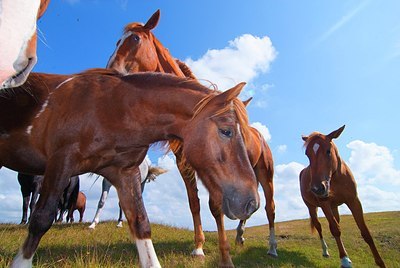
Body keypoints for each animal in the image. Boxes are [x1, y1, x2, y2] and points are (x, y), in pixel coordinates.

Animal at [104, 8, 276, 266]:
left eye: (135, 39)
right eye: (116, 42)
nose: (109, 71)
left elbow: (215, 206)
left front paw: (224, 254)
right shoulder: (185, 165)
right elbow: (194, 203)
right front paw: (199, 247)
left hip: (265, 174)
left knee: (270, 208)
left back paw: (272, 247)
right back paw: (240, 234)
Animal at [302, 125, 386, 268]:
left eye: (328, 151)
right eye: (307, 154)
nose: (317, 189)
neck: (336, 178)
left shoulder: (354, 201)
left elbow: (365, 232)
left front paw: (380, 262)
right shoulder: (324, 204)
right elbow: (335, 229)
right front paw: (344, 260)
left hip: (334, 207)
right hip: (311, 207)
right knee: (319, 226)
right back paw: (326, 251)